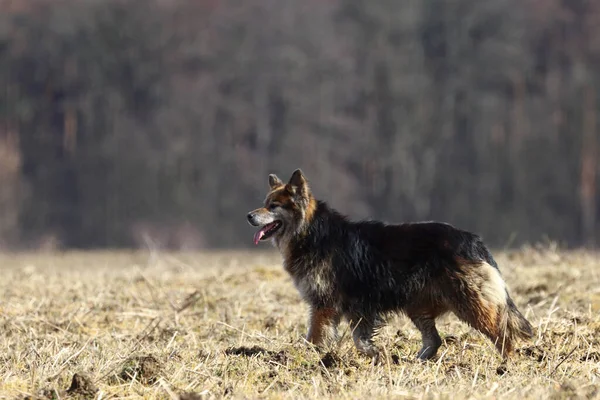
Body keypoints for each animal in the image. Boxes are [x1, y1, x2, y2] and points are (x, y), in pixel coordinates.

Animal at [246, 169, 532, 362]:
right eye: (265, 203)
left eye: (273, 206)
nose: (249, 215)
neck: (310, 232)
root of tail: (473, 240)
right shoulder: (351, 308)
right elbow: (358, 340)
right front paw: (377, 356)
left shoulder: (325, 305)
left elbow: (319, 337)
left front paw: (304, 357)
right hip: (418, 305)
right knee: (434, 340)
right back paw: (416, 363)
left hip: (470, 303)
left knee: (502, 332)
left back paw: (507, 364)